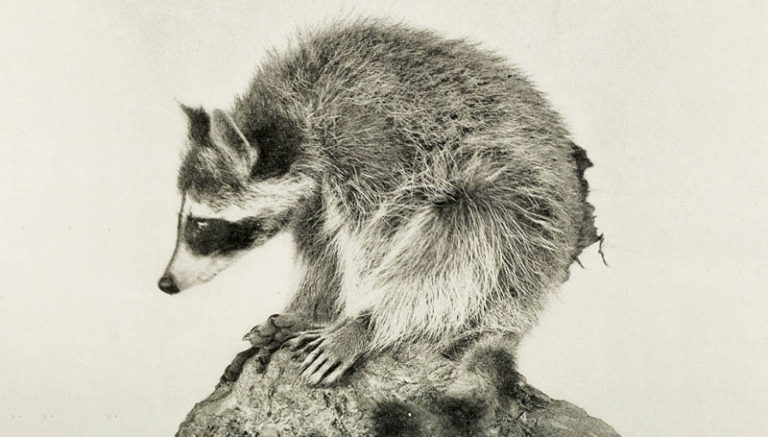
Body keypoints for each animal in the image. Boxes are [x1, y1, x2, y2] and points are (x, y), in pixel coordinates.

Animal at [159, 20, 599, 386]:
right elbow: (323, 248)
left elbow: (378, 244)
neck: (293, 122)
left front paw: (357, 321)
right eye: (183, 218)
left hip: (521, 216)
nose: (165, 283)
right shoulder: (317, 196)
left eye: (201, 223)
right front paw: (313, 309)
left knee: (464, 233)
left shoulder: (372, 147)